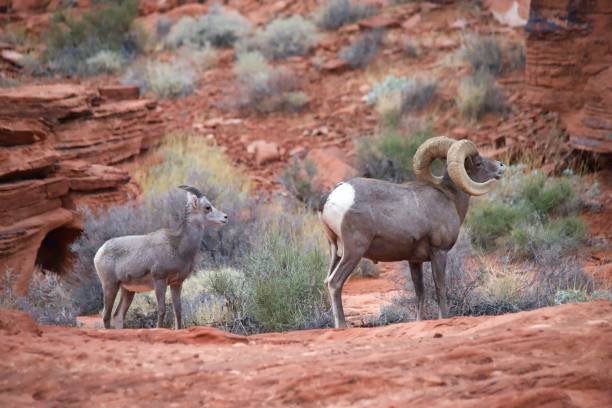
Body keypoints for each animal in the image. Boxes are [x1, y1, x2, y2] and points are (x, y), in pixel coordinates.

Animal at [94, 186, 228, 330]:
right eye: (207, 207)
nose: (225, 217)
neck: (178, 246)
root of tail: (99, 253)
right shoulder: (160, 281)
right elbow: (162, 310)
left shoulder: (176, 283)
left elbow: (178, 310)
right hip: (110, 286)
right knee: (106, 316)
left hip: (128, 291)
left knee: (118, 315)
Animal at [318, 137, 504, 328]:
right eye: (478, 163)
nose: (501, 166)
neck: (449, 197)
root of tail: (330, 197)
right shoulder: (439, 252)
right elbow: (440, 288)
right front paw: (443, 318)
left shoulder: (414, 261)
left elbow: (419, 292)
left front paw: (419, 321)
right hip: (354, 251)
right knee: (335, 282)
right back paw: (342, 326)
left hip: (335, 250)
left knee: (327, 280)